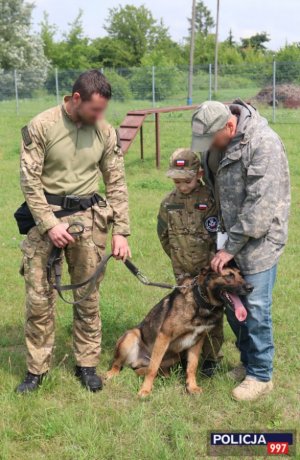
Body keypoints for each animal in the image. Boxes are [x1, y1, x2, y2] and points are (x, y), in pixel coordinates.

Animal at [106, 268, 252, 398]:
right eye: (229, 275)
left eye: (241, 275)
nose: (251, 287)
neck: (201, 302)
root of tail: (138, 361)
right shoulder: (164, 336)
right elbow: (153, 368)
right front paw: (145, 390)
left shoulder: (197, 341)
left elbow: (192, 367)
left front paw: (191, 387)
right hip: (131, 336)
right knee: (119, 364)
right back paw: (112, 374)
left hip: (175, 356)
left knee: (145, 370)